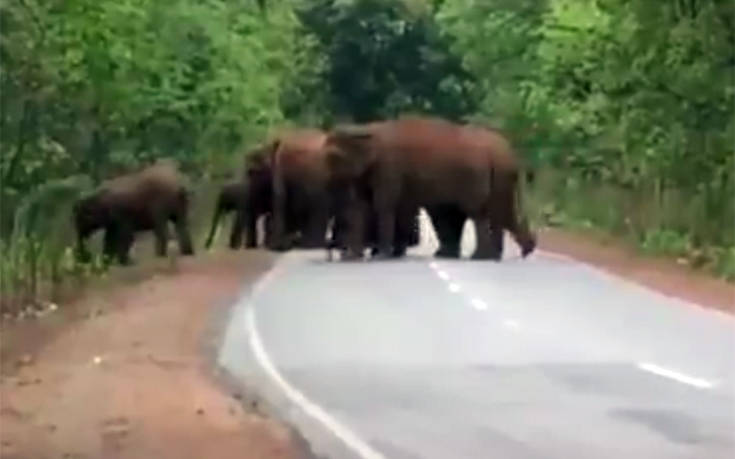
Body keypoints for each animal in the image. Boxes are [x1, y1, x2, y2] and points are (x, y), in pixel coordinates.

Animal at [324, 117, 536, 262]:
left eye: (334, 158)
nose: (333, 249)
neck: (369, 128)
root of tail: (508, 154)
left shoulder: (390, 167)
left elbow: (383, 205)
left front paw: (381, 256)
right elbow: (362, 205)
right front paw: (356, 257)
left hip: (477, 175)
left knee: (479, 212)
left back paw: (485, 257)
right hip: (499, 176)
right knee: (500, 211)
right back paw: (510, 253)